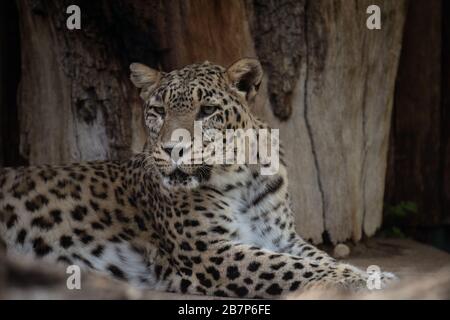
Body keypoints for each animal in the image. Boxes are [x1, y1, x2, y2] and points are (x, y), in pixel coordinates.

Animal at [0, 58, 396, 298]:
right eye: (158, 111)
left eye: (207, 111)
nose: (173, 149)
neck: (242, 177)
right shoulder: (208, 251)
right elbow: (289, 268)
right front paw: (365, 280)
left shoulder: (282, 237)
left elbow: (316, 259)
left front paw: (365, 273)